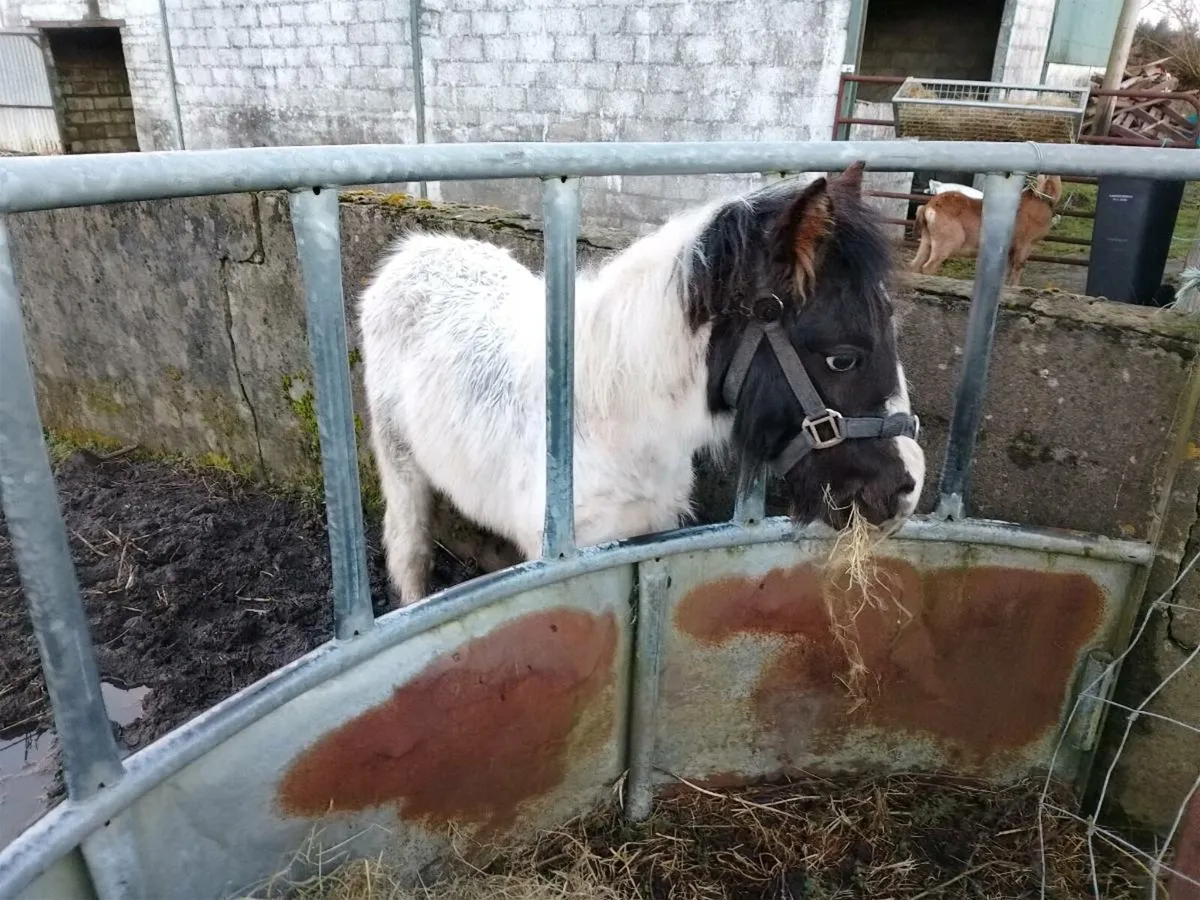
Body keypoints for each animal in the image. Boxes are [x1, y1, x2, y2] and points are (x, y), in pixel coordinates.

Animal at [358, 161, 926, 605]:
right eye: (843, 359)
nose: (907, 489)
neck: (611, 421)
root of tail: (415, 253)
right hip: (401, 466)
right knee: (408, 549)